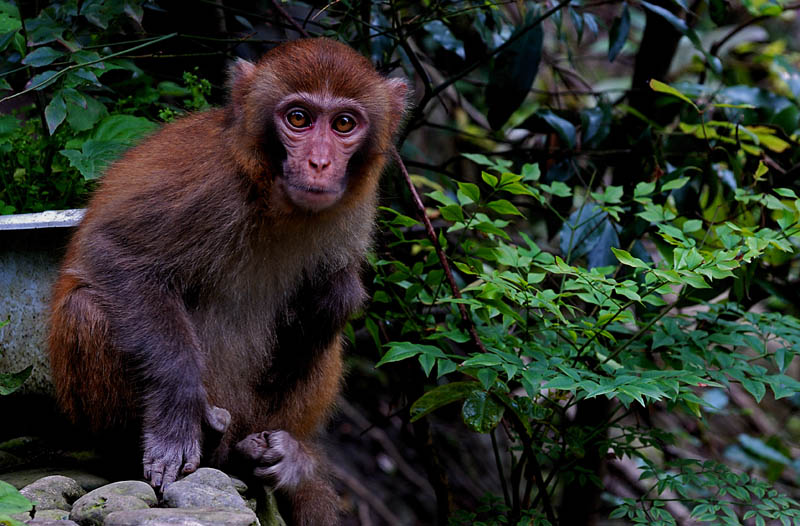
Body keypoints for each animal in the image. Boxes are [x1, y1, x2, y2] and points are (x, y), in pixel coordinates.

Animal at [46, 38, 406, 526]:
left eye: (344, 123)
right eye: (298, 118)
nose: (319, 162)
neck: (271, 192)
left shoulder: (356, 208)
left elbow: (339, 290)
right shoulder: (209, 185)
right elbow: (114, 253)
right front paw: (177, 410)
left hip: (261, 415)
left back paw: (273, 455)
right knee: (86, 307)